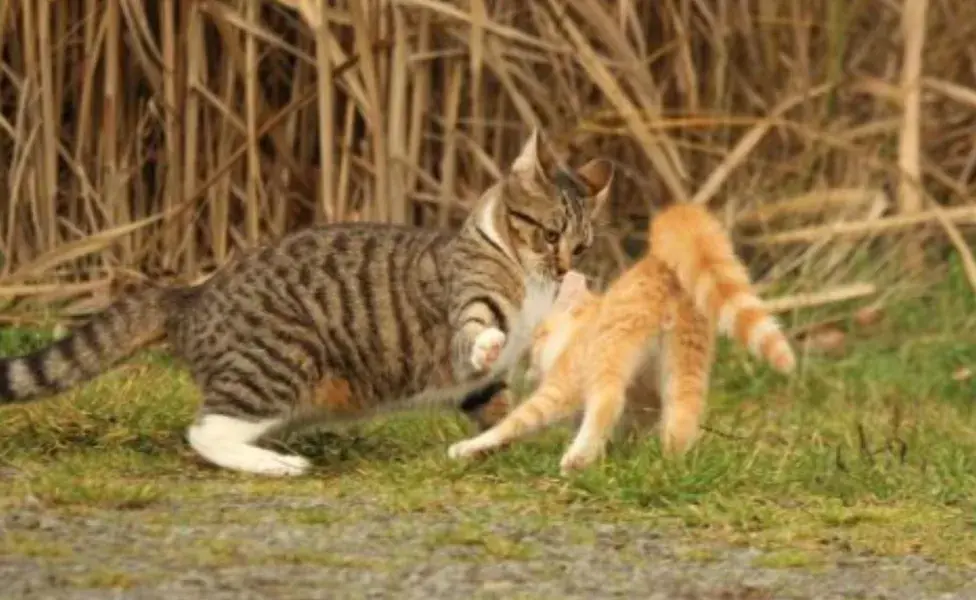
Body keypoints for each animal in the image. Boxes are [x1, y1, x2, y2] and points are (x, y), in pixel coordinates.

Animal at [0, 129, 608, 476]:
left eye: (582, 245)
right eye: (549, 235)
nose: (564, 269)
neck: (528, 280)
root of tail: (191, 293)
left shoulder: (483, 388)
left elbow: (500, 410)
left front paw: (498, 445)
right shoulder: (469, 302)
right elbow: (478, 328)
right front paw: (488, 344)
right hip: (275, 362)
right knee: (206, 432)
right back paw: (275, 465)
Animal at [446, 203, 796, 474]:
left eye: (539, 337)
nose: (531, 368)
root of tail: (660, 266)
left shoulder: (565, 383)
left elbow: (516, 421)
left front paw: (469, 447)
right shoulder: (645, 405)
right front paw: (618, 455)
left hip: (612, 350)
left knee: (607, 401)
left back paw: (577, 459)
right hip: (686, 364)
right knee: (683, 417)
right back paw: (668, 467)